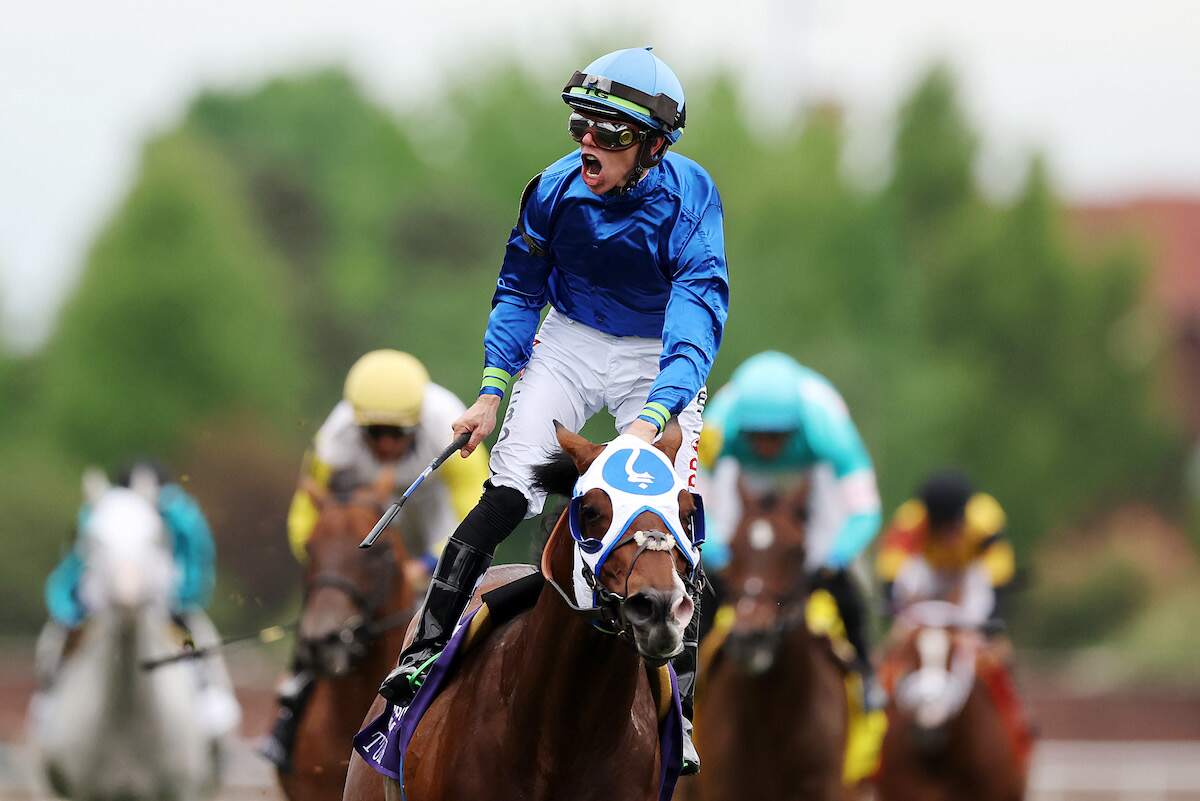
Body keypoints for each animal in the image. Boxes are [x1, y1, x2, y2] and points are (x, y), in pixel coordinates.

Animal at [34, 470, 238, 801]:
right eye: (92, 541)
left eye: (155, 537)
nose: (127, 595)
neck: (128, 721)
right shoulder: (84, 790)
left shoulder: (182, 790)